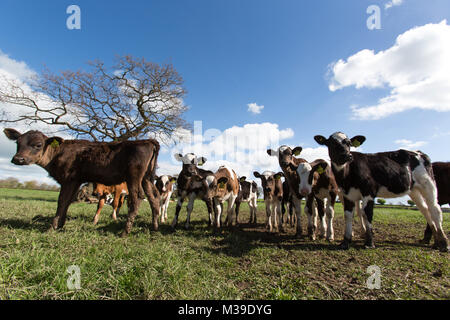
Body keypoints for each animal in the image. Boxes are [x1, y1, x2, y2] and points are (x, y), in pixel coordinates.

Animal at [3, 128, 161, 238]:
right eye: (17, 143)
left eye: (38, 145)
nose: (18, 159)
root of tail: (146, 141)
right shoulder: (76, 180)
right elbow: (67, 201)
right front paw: (60, 225)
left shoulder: (69, 178)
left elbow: (62, 201)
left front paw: (52, 227)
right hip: (146, 178)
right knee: (153, 199)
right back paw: (154, 228)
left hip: (134, 177)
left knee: (137, 198)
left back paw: (124, 232)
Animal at [314, 131, 448, 251]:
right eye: (331, 143)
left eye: (349, 143)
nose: (346, 156)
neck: (347, 174)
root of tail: (418, 152)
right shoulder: (347, 194)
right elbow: (348, 215)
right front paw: (345, 242)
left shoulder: (369, 192)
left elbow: (367, 213)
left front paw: (369, 242)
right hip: (414, 190)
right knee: (425, 210)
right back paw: (436, 241)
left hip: (428, 184)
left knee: (435, 210)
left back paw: (444, 243)